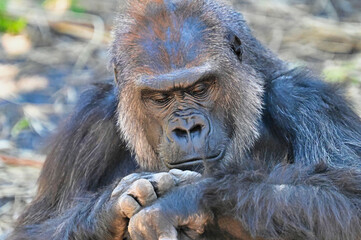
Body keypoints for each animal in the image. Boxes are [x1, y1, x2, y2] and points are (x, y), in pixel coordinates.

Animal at [9, 0, 360, 240]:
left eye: (200, 88)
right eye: (160, 98)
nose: (187, 128)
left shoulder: (308, 101)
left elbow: (349, 200)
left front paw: (183, 200)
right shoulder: (88, 124)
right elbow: (35, 229)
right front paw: (109, 209)